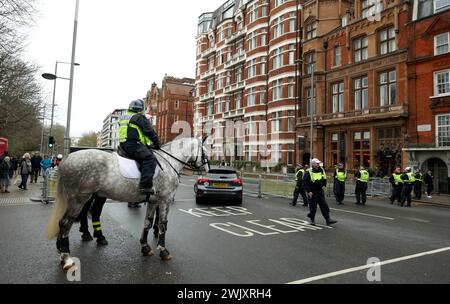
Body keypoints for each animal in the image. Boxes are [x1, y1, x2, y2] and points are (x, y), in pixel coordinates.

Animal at [45, 137, 207, 270]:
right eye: (205, 150)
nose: (207, 169)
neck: (168, 162)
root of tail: (67, 159)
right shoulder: (165, 200)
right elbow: (162, 225)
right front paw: (163, 251)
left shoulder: (153, 201)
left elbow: (147, 223)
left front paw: (145, 247)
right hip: (79, 199)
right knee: (65, 223)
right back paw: (67, 257)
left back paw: (65, 249)